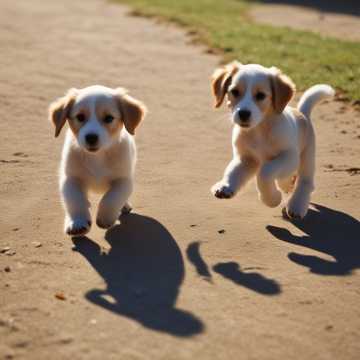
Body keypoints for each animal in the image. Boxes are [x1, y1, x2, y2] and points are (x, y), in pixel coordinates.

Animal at [48, 85, 147, 236]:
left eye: (109, 118)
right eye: (80, 117)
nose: (91, 137)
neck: (98, 157)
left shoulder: (123, 180)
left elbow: (112, 198)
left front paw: (105, 217)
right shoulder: (71, 178)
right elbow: (75, 200)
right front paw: (77, 222)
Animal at [211, 61, 334, 218]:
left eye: (261, 95)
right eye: (235, 92)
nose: (243, 114)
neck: (259, 130)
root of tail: (302, 114)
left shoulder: (289, 156)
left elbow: (265, 172)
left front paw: (272, 199)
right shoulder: (246, 159)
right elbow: (233, 171)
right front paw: (225, 186)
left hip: (307, 157)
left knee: (305, 182)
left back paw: (297, 204)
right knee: (287, 178)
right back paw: (287, 185)